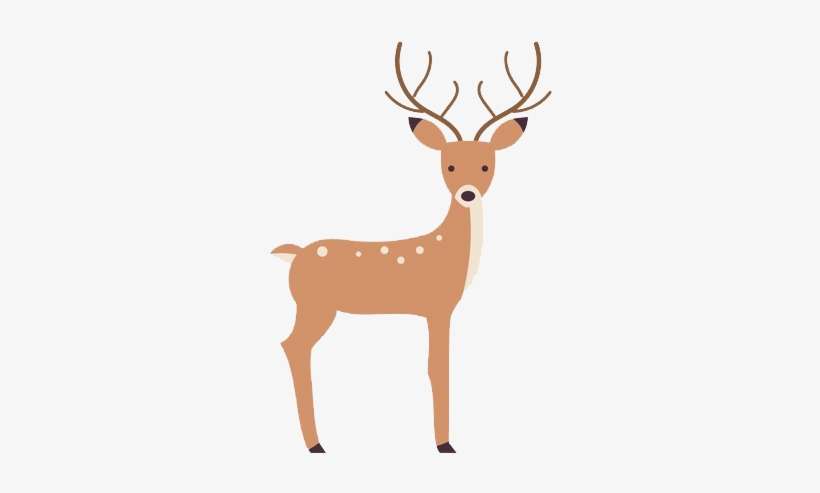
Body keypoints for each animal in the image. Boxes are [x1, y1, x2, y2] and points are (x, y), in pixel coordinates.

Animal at [272, 41, 551, 453]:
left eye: (486, 166)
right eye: (449, 166)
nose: (468, 194)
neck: (448, 252)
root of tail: (293, 254)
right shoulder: (437, 306)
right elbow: (439, 367)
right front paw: (445, 444)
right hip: (315, 306)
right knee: (293, 346)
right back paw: (315, 444)